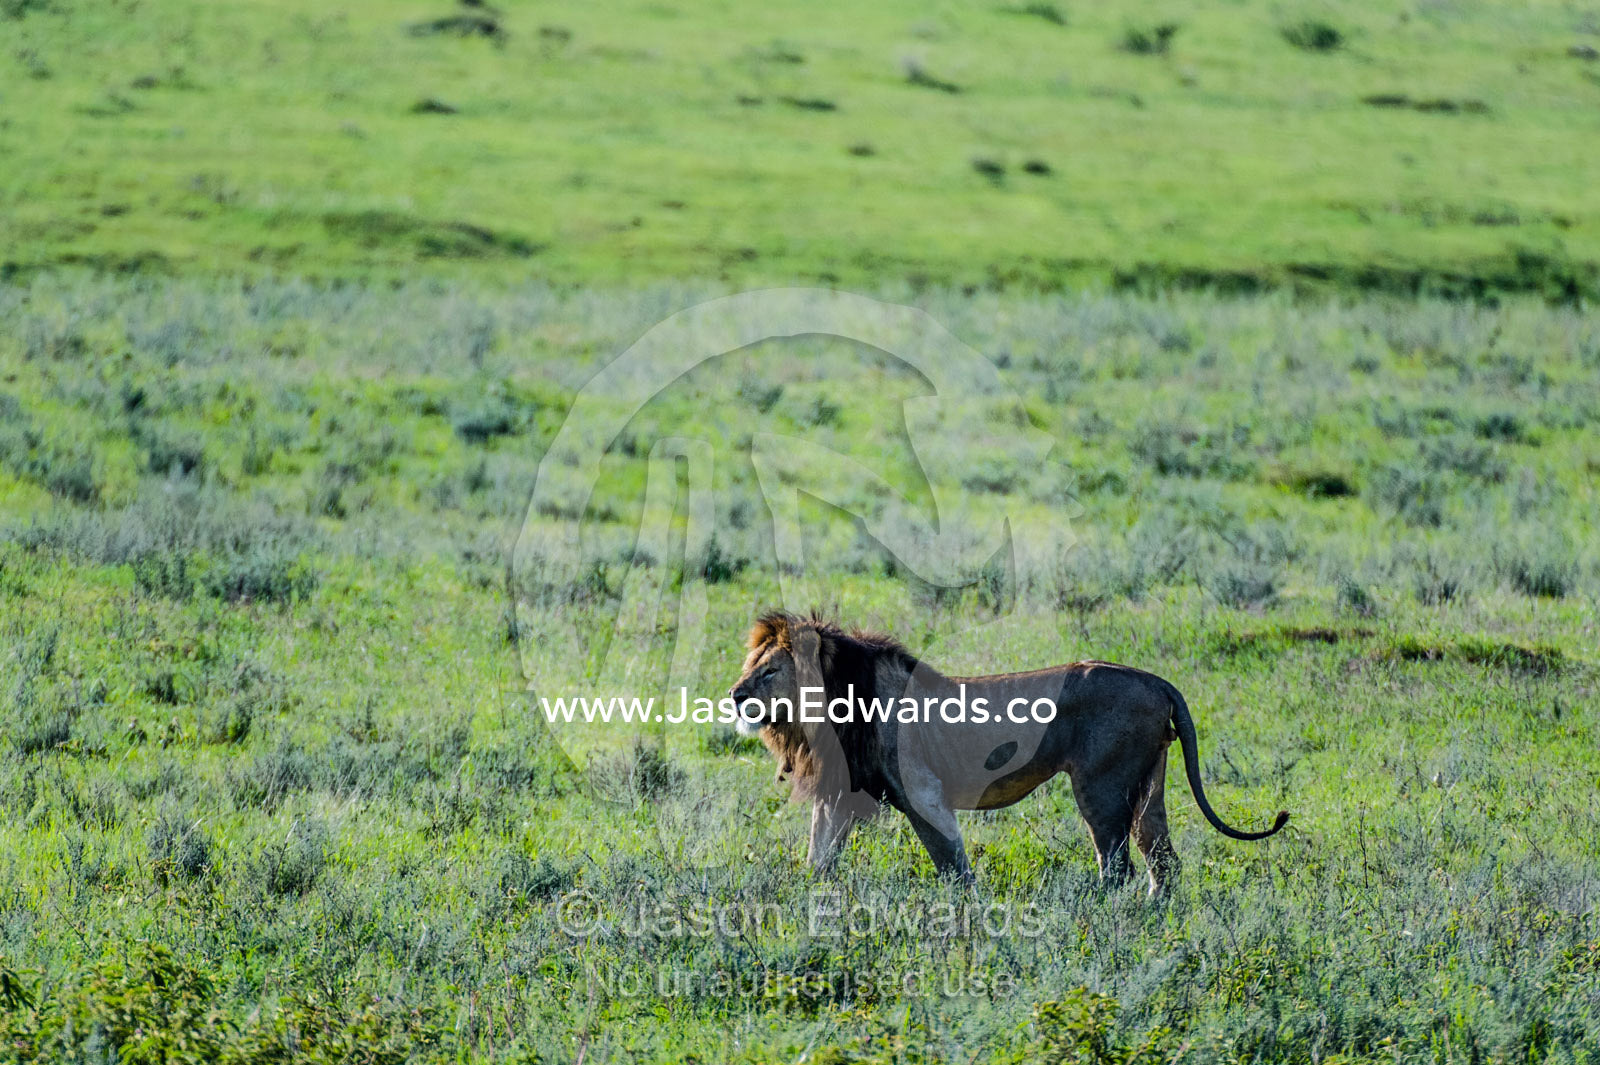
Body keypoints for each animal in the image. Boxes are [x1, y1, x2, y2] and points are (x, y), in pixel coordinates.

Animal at [729, 611, 1288, 894]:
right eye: (751, 664)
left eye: (769, 671)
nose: (734, 695)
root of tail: (1155, 679)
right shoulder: (841, 794)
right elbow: (818, 856)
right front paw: (809, 900)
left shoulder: (923, 793)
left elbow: (952, 863)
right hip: (1150, 783)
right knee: (1162, 859)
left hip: (1101, 786)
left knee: (1118, 866)